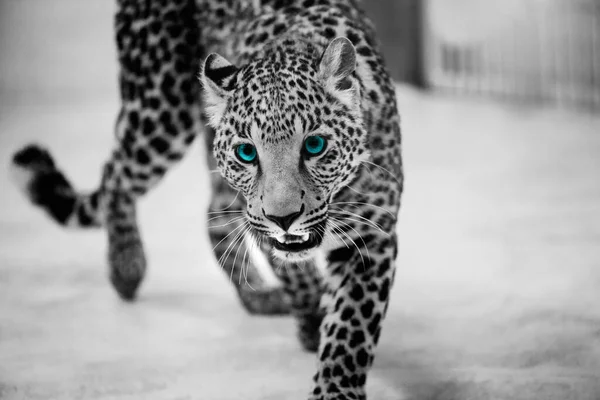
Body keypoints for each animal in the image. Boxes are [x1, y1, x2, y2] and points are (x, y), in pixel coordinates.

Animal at [9, 1, 404, 398]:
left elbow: (352, 328)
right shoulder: (260, 216)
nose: (283, 218)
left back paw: (259, 295)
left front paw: (335, 386)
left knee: (213, 216)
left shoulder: (372, 233)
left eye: (315, 145)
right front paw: (311, 319)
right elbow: (294, 272)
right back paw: (126, 266)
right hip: (160, 106)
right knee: (115, 174)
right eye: (247, 153)